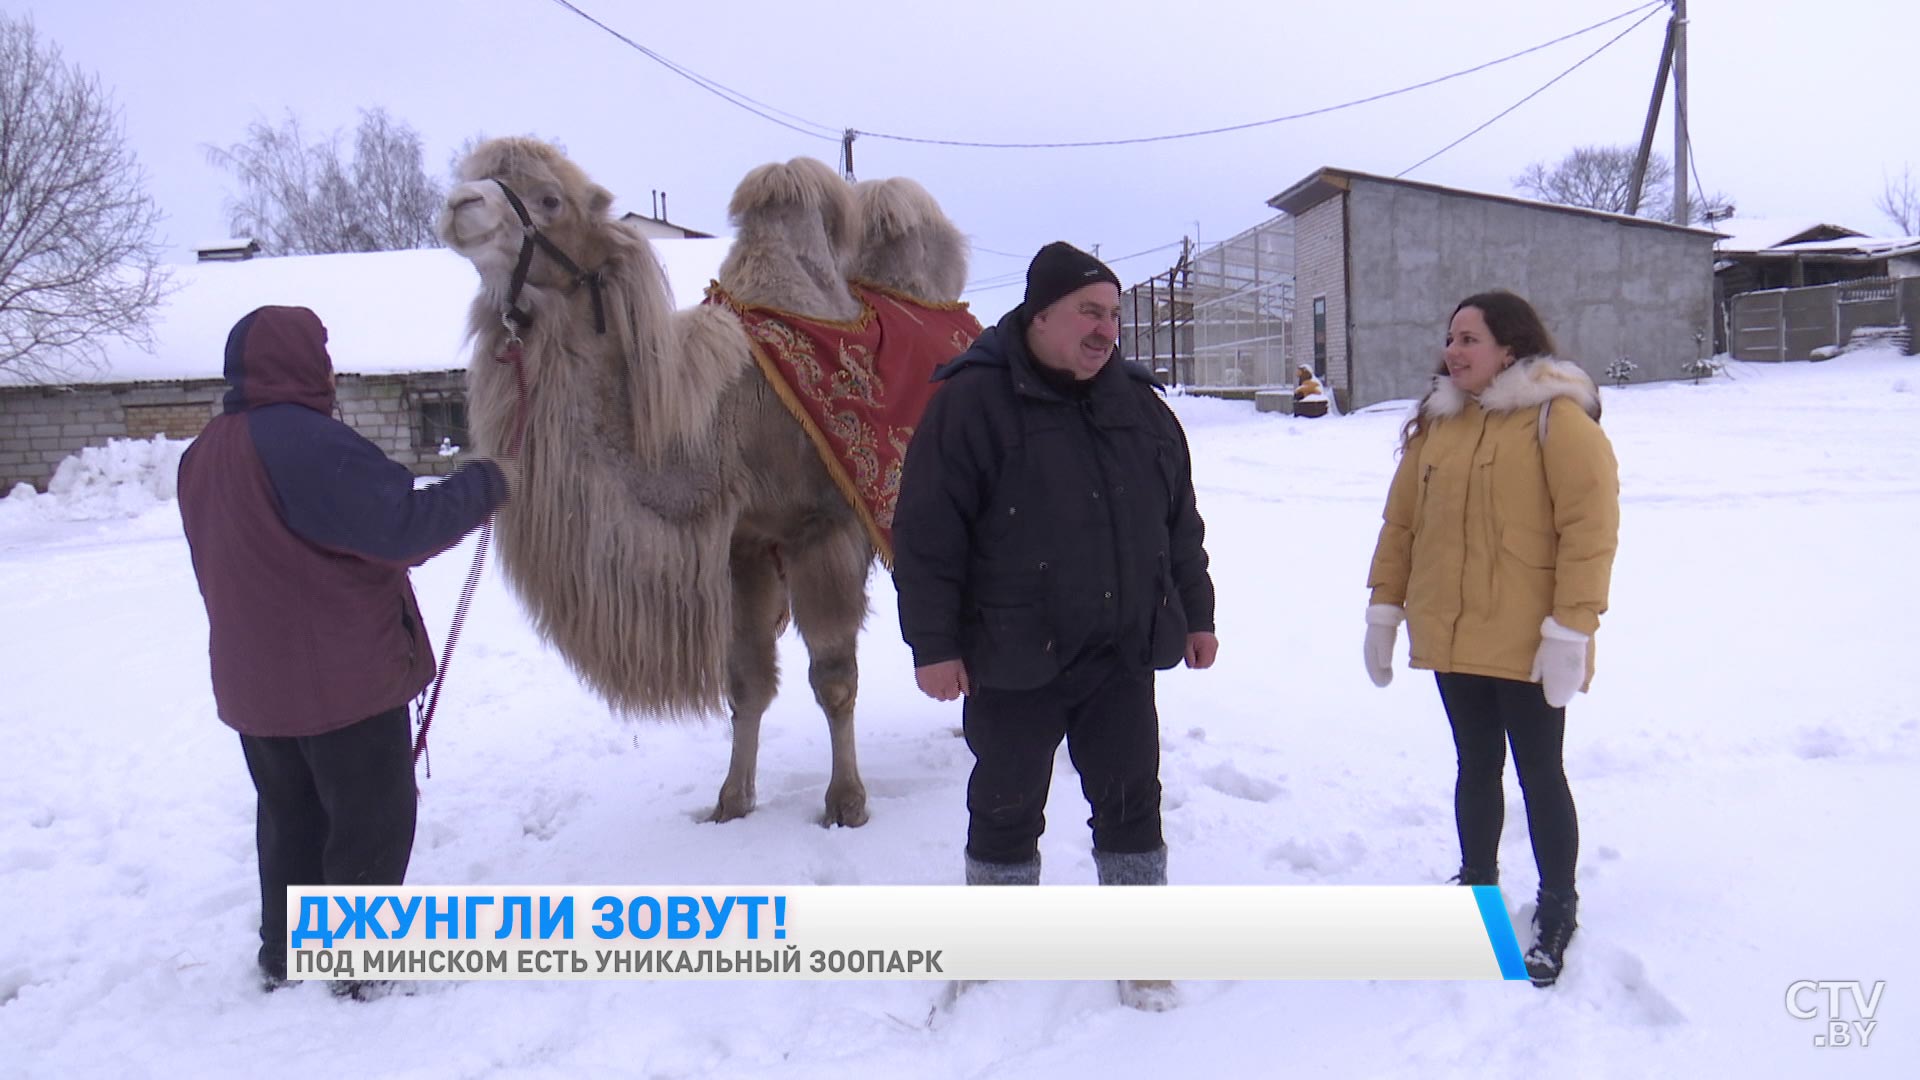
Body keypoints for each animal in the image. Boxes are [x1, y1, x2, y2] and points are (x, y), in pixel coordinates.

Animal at [439, 136, 967, 822]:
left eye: (550, 199)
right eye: (472, 176)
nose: (459, 205)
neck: (726, 417)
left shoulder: (820, 526)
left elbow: (833, 677)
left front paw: (846, 804)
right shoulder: (745, 545)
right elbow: (746, 680)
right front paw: (731, 802)